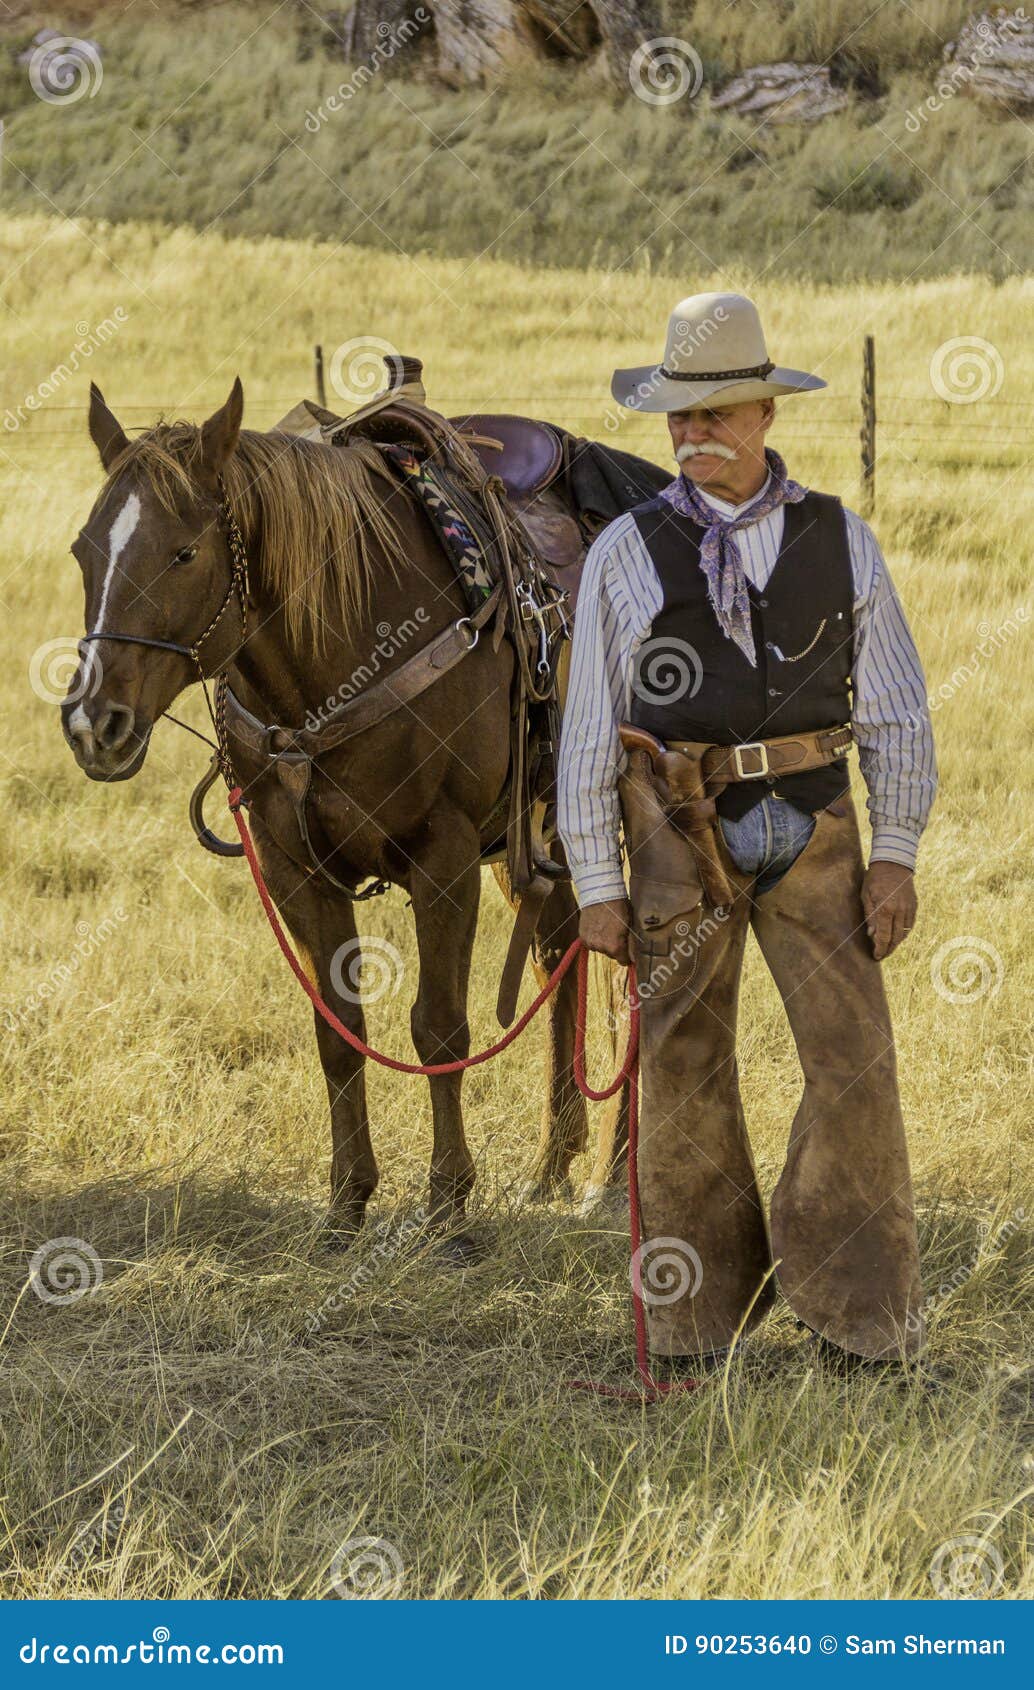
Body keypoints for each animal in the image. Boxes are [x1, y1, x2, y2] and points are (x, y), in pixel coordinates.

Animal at [66, 380, 628, 1257]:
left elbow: (439, 1027)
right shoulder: (295, 867)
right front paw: (345, 1206)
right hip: (540, 840)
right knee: (560, 953)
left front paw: (448, 1208)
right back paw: (556, 1164)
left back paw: (613, 1171)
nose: (96, 724)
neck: (340, 649)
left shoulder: (445, 855)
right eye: (85, 552)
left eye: (184, 553)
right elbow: (338, 1031)